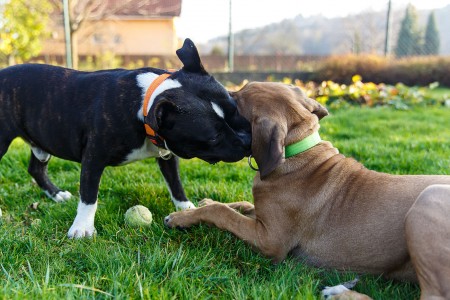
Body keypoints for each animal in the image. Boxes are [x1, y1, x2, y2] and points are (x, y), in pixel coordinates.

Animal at [0, 38, 251, 238]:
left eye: (235, 110)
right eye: (213, 137)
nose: (247, 140)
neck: (145, 101)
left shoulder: (168, 155)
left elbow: (175, 183)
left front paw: (186, 209)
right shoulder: (93, 157)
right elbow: (89, 195)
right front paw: (82, 227)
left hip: (41, 141)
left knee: (36, 168)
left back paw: (56, 194)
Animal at [164, 82, 450, 300]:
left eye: (238, 100)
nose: (222, 93)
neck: (298, 151)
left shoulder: (269, 240)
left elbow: (223, 213)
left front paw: (181, 217)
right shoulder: (263, 215)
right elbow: (240, 204)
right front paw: (206, 201)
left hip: (428, 199)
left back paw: (339, 292)